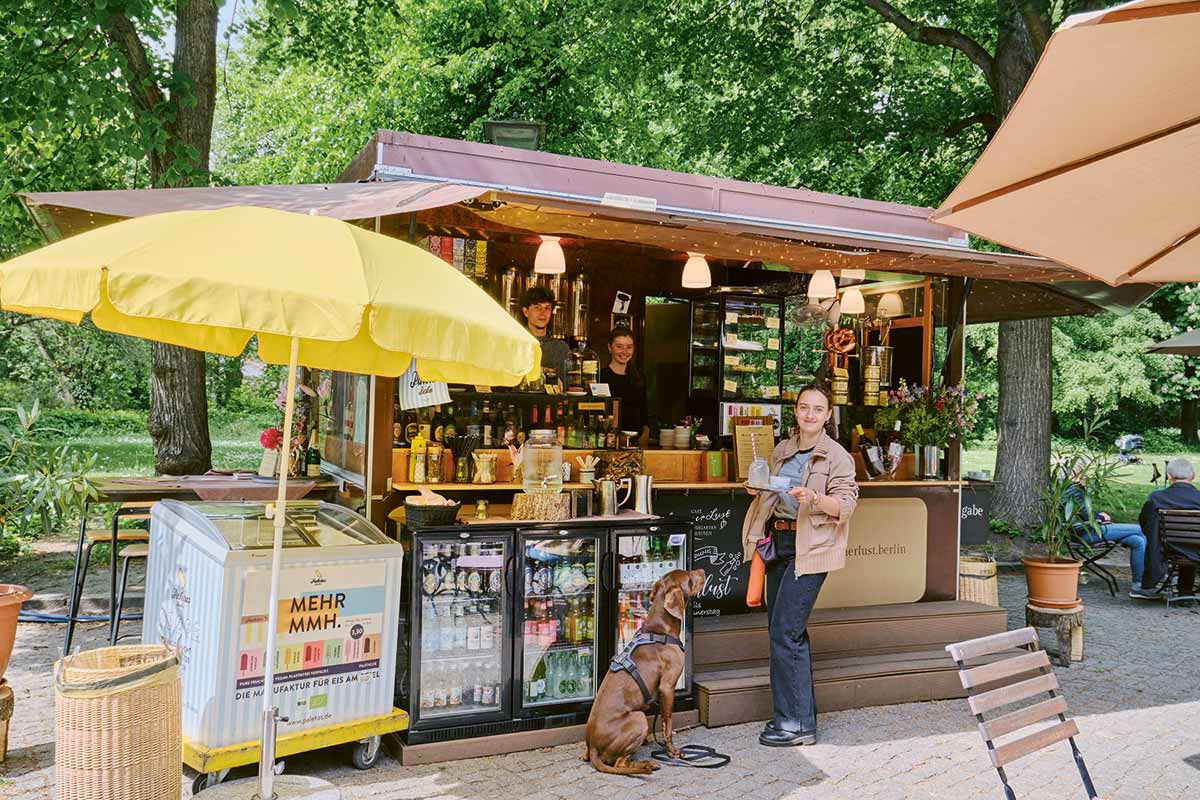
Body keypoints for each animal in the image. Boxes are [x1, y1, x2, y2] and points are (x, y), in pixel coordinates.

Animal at [580, 568, 700, 777]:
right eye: (690, 578)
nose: (702, 571)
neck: (660, 630)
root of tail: (593, 747)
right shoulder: (667, 687)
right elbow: (667, 723)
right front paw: (672, 751)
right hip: (639, 719)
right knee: (620, 764)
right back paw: (647, 764)